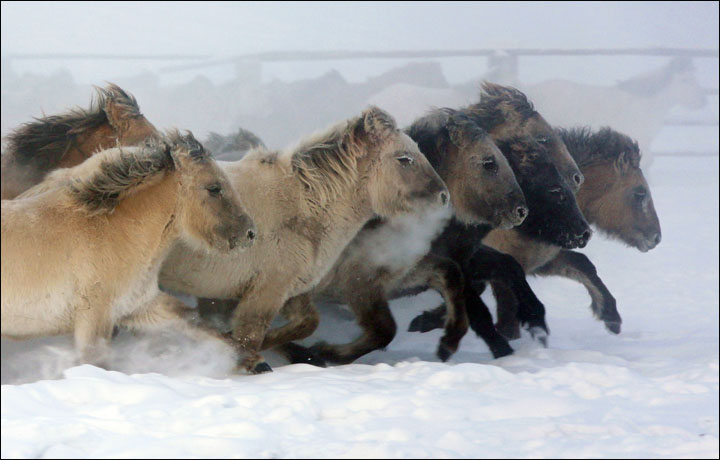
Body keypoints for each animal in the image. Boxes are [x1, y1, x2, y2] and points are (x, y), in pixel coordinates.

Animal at [0, 131, 256, 368]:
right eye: (214, 188)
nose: (250, 233)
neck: (115, 231)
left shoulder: (140, 306)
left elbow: (192, 319)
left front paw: (251, 361)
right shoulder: (94, 319)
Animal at [160, 107, 448, 374]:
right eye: (404, 158)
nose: (443, 196)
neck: (302, 204)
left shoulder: (291, 290)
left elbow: (307, 323)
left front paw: (313, 352)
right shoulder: (266, 292)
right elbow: (249, 336)